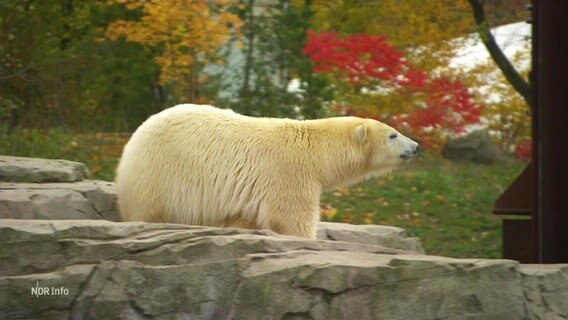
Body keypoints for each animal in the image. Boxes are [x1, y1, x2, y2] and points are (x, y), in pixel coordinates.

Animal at [116, 104, 418, 239]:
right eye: (393, 135)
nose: (416, 146)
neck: (315, 150)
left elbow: (243, 217)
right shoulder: (290, 173)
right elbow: (292, 217)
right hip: (159, 175)